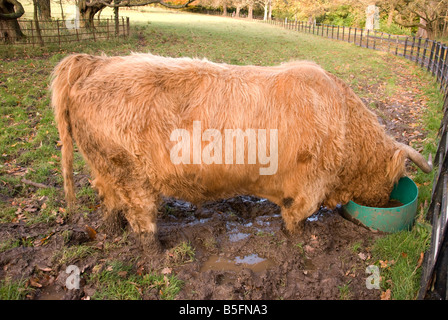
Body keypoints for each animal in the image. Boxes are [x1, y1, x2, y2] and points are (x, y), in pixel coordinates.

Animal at [50, 53, 432, 251]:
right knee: (140, 216)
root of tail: (95, 61)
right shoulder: (310, 185)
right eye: (395, 179)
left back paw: (111, 229)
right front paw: (301, 239)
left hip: (105, 169)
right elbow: (297, 216)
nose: (386, 200)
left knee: (109, 198)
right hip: (132, 175)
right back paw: (156, 249)